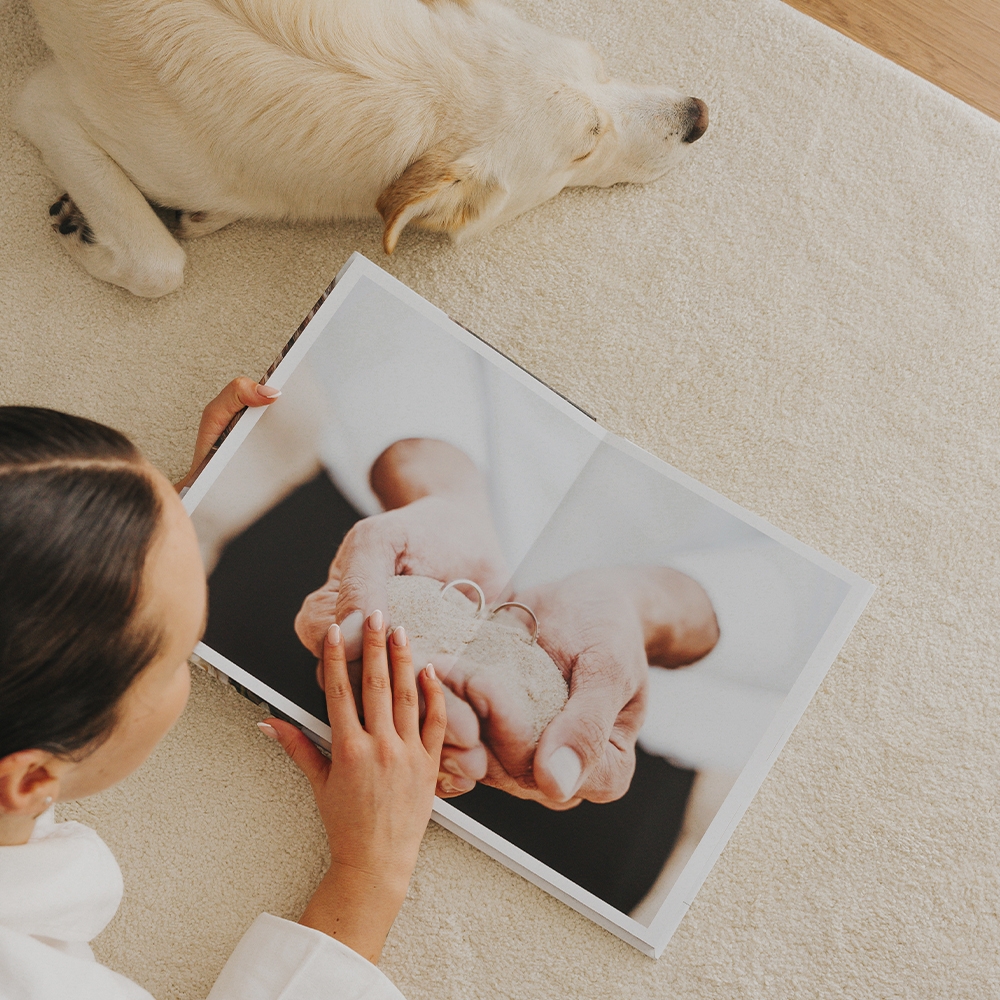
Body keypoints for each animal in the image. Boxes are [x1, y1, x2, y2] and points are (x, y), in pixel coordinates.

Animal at [13, 0, 704, 296]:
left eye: (601, 65)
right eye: (583, 151)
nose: (699, 117)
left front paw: (200, 214)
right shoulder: (44, 104)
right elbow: (158, 265)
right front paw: (89, 238)